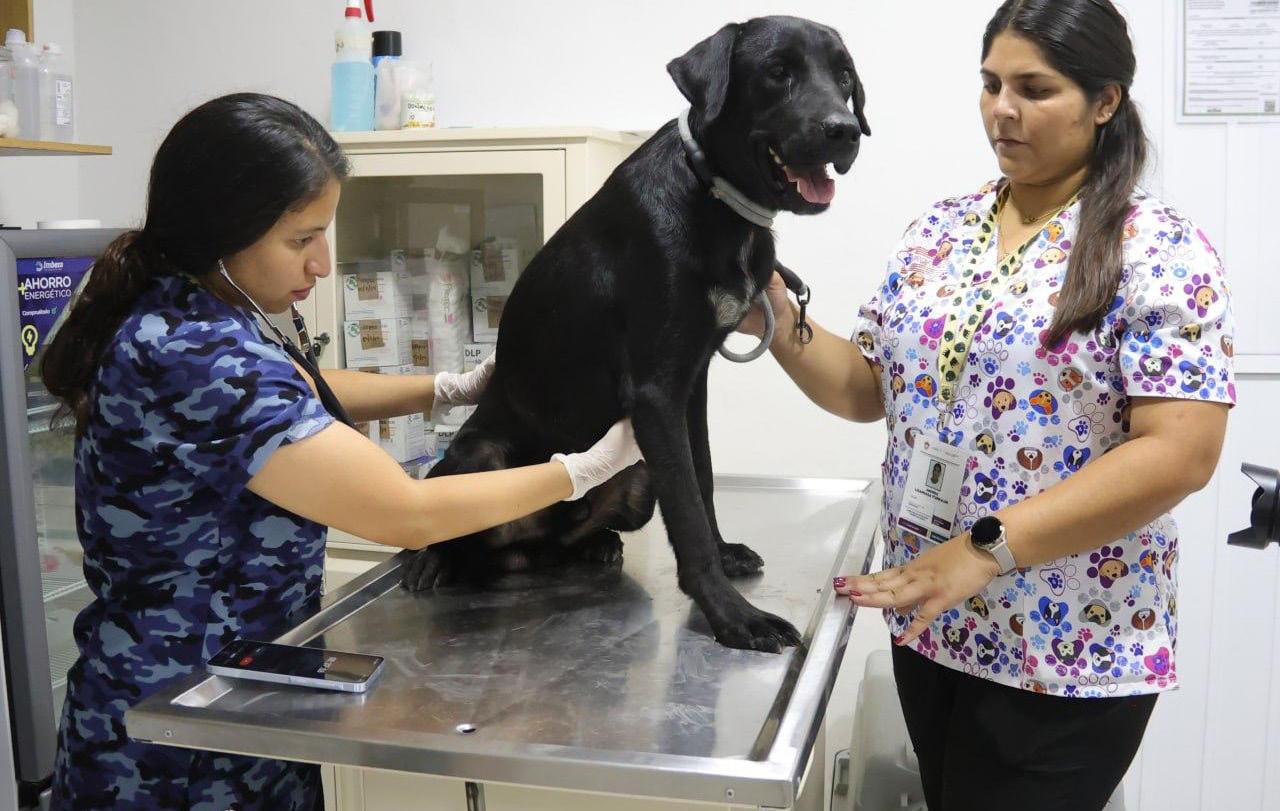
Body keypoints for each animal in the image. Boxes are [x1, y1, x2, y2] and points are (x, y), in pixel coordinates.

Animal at [401, 16, 869, 653]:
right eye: (778, 71)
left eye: (844, 77)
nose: (844, 132)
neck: (714, 197)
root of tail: (532, 544)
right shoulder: (655, 393)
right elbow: (688, 510)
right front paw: (732, 614)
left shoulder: (690, 386)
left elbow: (702, 477)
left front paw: (725, 556)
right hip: (480, 459)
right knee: (447, 517)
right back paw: (431, 560)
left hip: (636, 479)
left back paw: (594, 544)